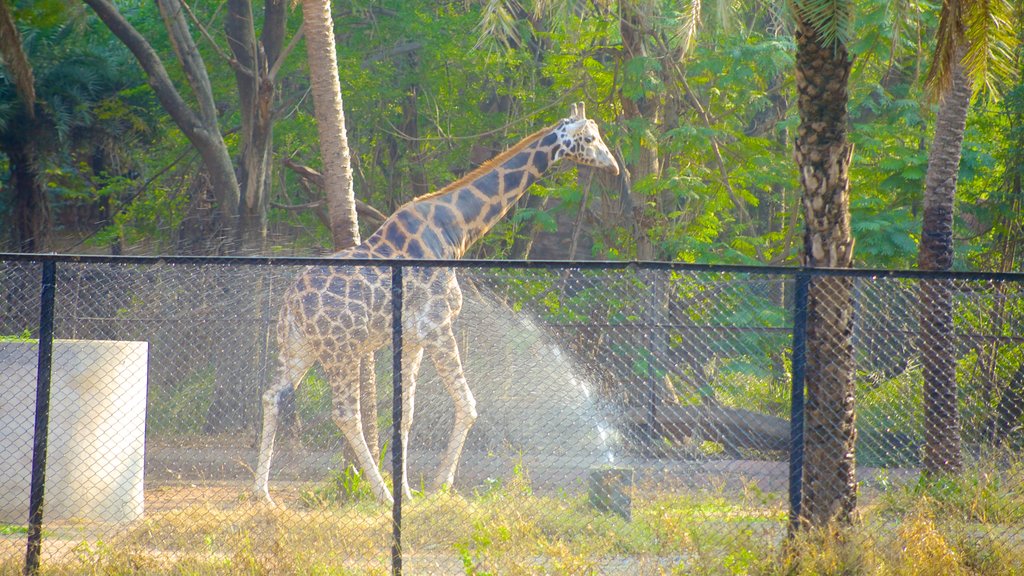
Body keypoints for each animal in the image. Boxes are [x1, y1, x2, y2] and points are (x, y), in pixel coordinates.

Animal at [251, 101, 618, 502]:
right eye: (590, 138)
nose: (613, 166)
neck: (457, 230)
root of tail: (291, 304)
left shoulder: (412, 337)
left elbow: (406, 414)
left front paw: (409, 491)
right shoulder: (437, 324)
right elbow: (468, 404)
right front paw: (440, 483)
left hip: (299, 345)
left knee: (272, 395)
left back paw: (262, 493)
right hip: (340, 350)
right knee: (345, 413)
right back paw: (382, 495)